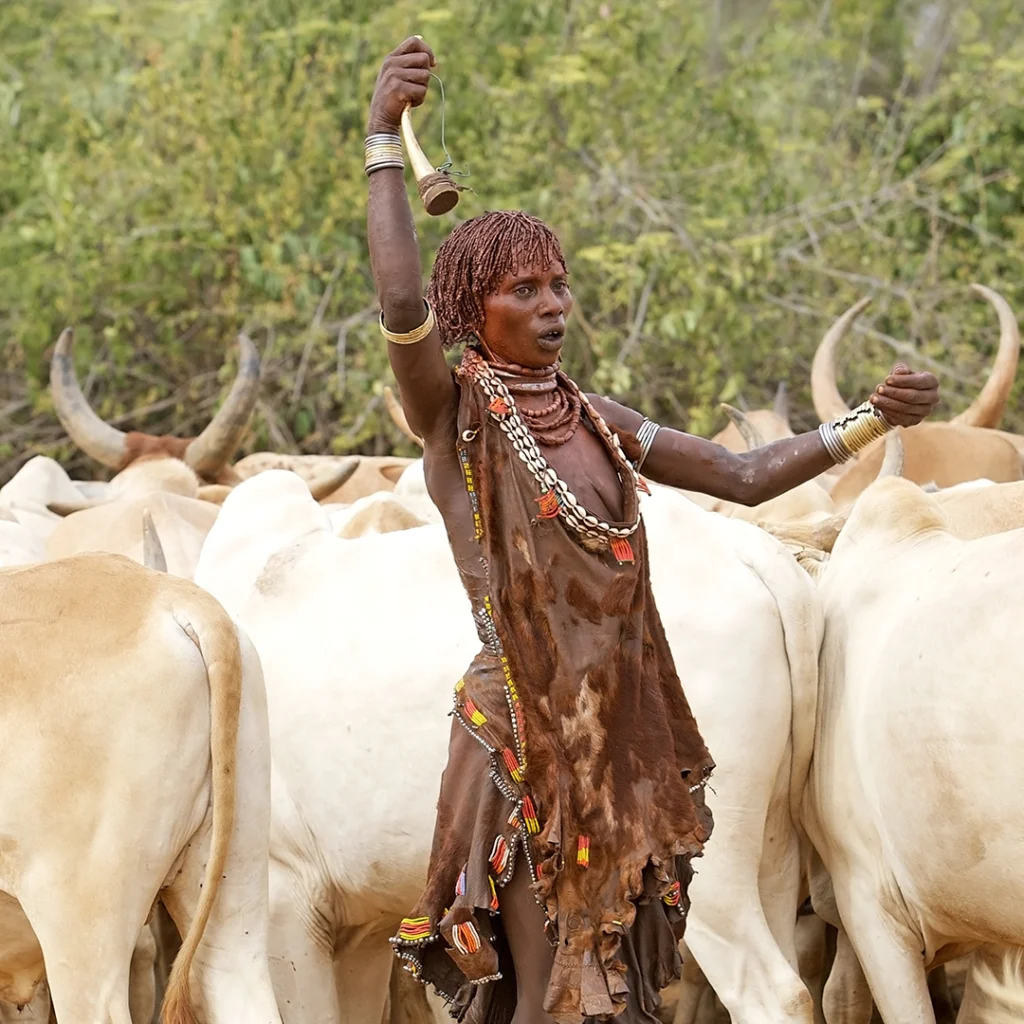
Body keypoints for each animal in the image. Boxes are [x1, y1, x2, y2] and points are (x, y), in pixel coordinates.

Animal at [195, 468, 823, 1024]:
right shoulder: (357, 927)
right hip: (771, 850)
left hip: (708, 870)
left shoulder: (286, 895)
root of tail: (746, 547)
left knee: (776, 994)